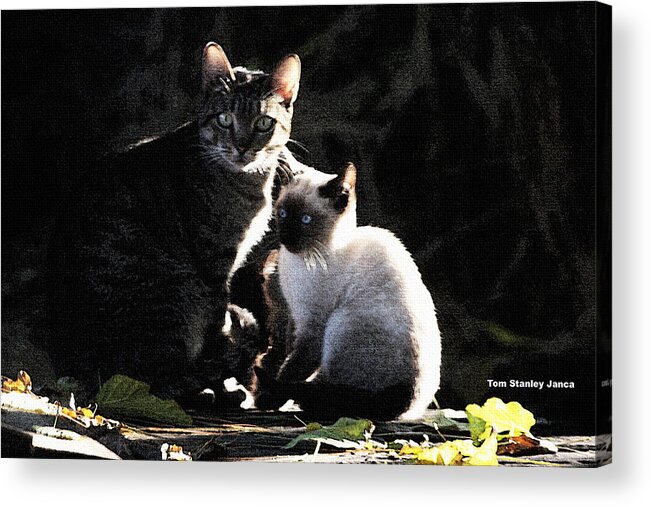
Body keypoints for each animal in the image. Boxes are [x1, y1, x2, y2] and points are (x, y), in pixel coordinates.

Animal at [260, 163, 444, 420]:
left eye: (306, 220)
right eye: (283, 214)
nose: (286, 238)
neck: (303, 260)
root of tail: (407, 398)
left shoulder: (313, 326)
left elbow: (294, 367)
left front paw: (269, 398)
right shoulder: (295, 318)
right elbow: (289, 354)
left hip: (341, 321)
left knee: (331, 392)